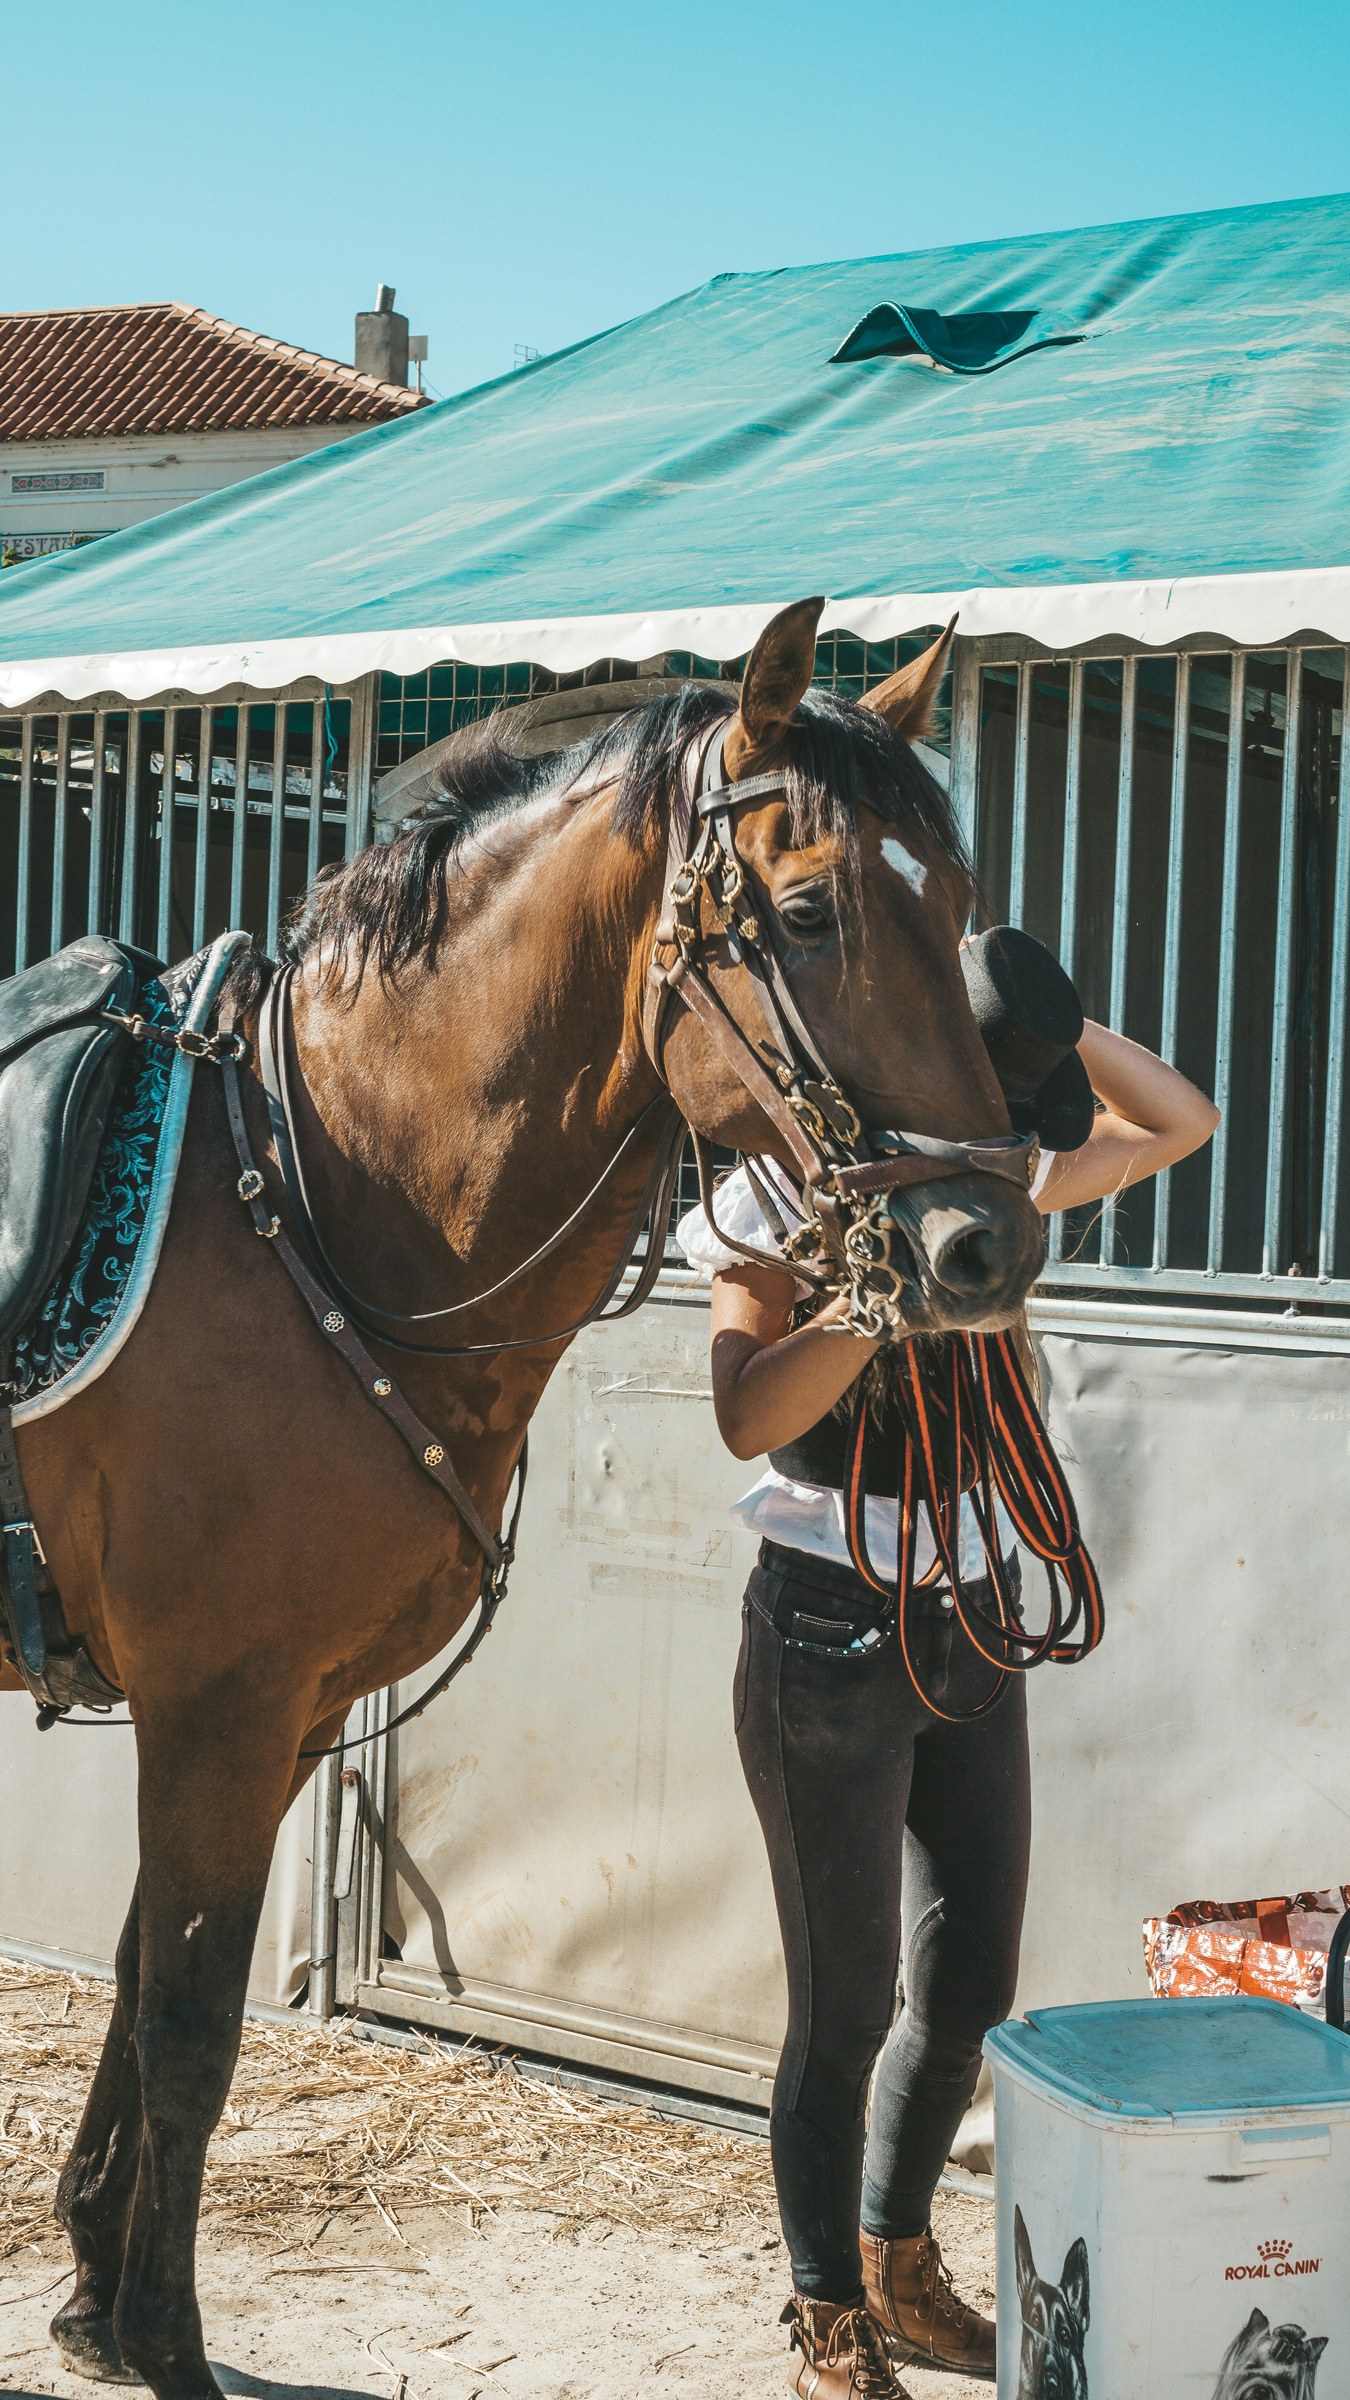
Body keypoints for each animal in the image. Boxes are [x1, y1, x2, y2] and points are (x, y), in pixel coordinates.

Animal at [5, 595, 1045, 2399]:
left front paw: (90, 2298)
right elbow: (195, 2025)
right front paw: (166, 2342)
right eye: (811, 910)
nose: (985, 1245)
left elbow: (145, 1981)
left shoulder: (263, 1720)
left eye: (960, 910)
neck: (314, 1200)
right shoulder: (219, 1706)